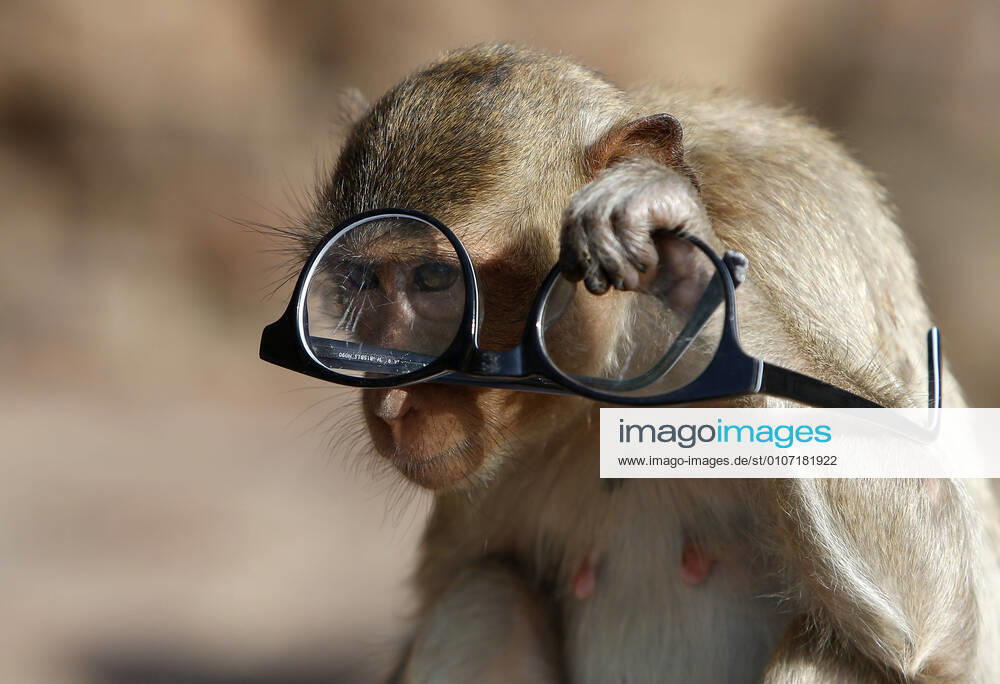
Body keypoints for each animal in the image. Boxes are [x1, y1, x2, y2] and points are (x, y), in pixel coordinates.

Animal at [280, 44, 1000, 682]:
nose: (390, 403)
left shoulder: (783, 236)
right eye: (356, 283)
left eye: (434, 279)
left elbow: (948, 628)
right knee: (481, 599)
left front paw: (674, 232)